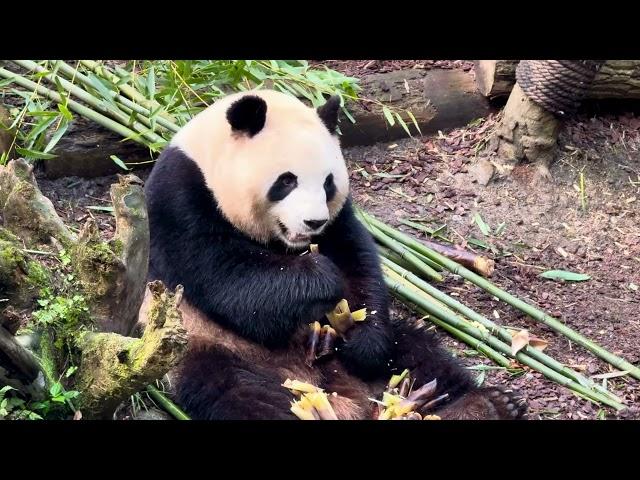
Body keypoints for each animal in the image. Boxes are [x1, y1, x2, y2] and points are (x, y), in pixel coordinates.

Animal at [142, 90, 528, 420]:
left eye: (328, 183)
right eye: (286, 181)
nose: (313, 222)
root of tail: (344, 398)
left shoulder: (338, 218)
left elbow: (357, 260)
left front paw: (357, 338)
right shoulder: (180, 199)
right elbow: (224, 277)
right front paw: (318, 276)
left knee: (418, 353)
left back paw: (485, 404)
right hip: (209, 349)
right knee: (241, 394)